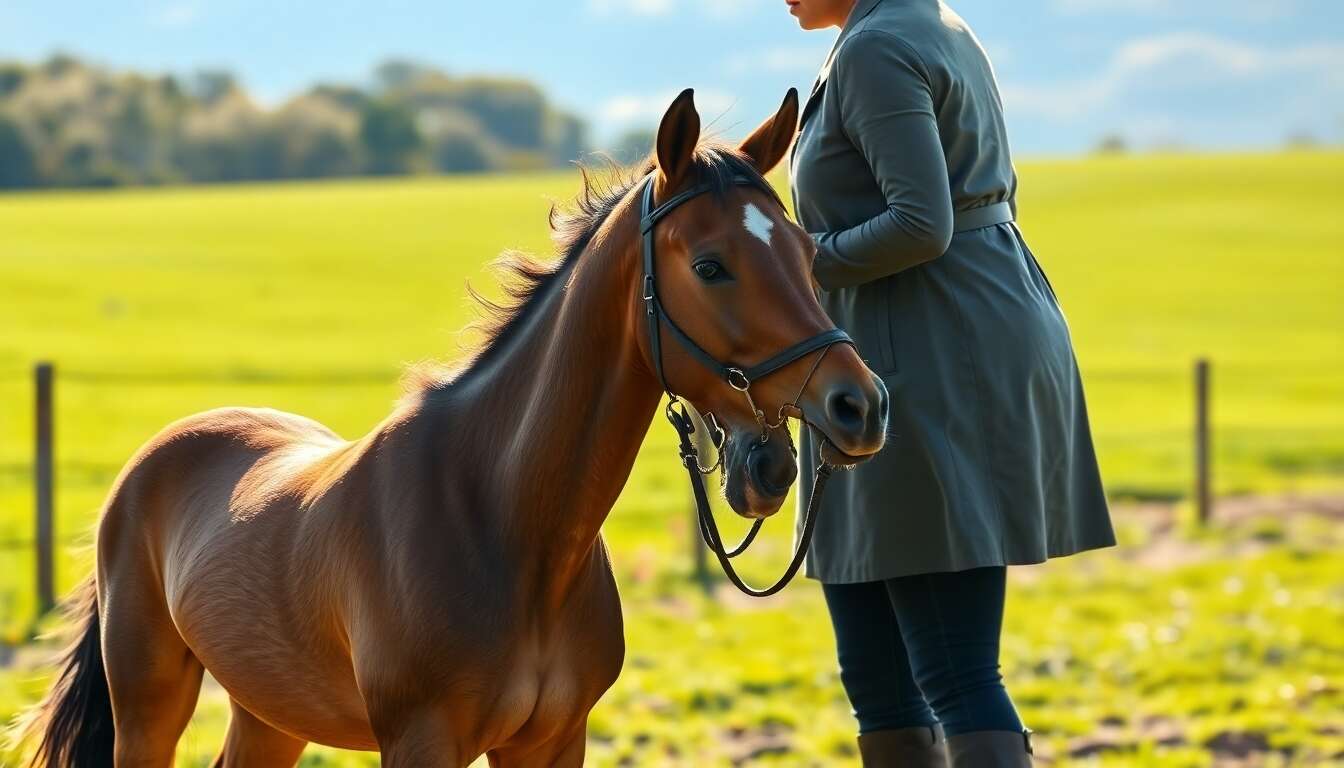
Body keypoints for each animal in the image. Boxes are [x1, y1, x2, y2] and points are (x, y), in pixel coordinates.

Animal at [16, 88, 889, 767]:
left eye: (807, 250)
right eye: (710, 265)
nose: (860, 406)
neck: (502, 520)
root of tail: (149, 466)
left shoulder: (553, 742)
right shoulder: (422, 741)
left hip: (269, 711)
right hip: (149, 704)